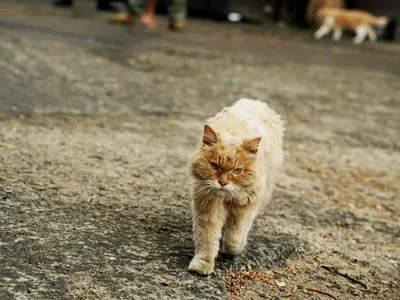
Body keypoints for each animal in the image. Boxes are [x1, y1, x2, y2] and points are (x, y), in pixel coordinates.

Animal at [188, 99, 284, 276]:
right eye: (214, 166)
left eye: (236, 170)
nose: (222, 182)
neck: (226, 198)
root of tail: (255, 102)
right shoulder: (208, 208)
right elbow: (207, 240)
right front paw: (202, 265)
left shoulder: (245, 207)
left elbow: (235, 239)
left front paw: (230, 249)